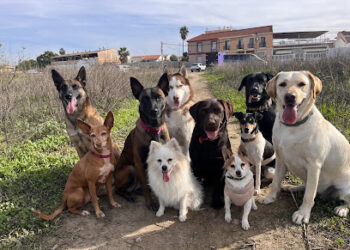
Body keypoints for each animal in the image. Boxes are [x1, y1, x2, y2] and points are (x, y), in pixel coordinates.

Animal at [114, 73, 170, 211]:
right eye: (144, 99)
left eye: (158, 97)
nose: (154, 111)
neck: (154, 129)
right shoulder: (139, 163)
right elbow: (145, 185)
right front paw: (150, 202)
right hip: (130, 169)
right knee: (118, 190)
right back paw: (129, 196)